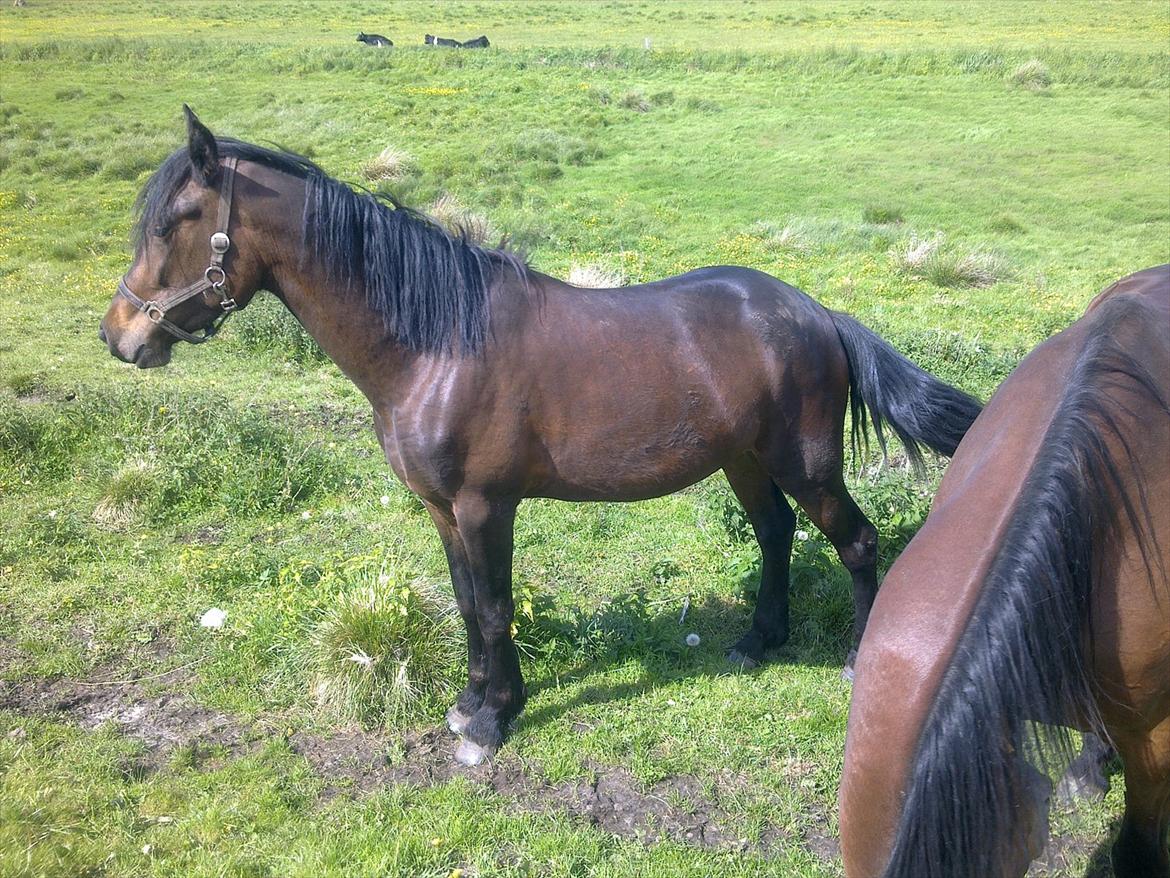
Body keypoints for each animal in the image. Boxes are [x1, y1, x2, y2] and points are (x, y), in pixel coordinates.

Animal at [100, 110, 982, 767]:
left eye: (177, 221)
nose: (119, 337)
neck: (436, 345)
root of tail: (817, 313)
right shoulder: (441, 510)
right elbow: (464, 604)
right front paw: (468, 703)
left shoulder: (486, 505)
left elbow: (494, 608)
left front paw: (493, 722)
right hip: (744, 460)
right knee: (774, 534)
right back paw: (757, 641)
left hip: (806, 462)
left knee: (856, 541)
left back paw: (857, 657)